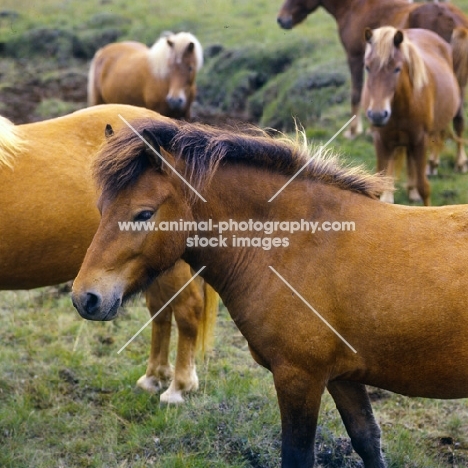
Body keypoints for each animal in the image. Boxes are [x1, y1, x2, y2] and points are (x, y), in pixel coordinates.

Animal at [70, 117, 468, 468]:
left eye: (144, 214)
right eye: (101, 208)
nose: (85, 298)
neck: (297, 243)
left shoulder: (299, 378)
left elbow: (297, 455)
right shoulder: (343, 377)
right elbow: (368, 440)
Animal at [276, 0, 468, 170]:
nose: (281, 19)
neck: (356, 7)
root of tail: (455, 22)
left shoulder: (355, 58)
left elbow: (356, 93)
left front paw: (353, 131)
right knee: (456, 117)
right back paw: (455, 162)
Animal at [360, 26, 458, 206]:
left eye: (397, 69)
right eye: (368, 67)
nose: (377, 115)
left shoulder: (420, 141)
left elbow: (424, 187)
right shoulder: (381, 141)